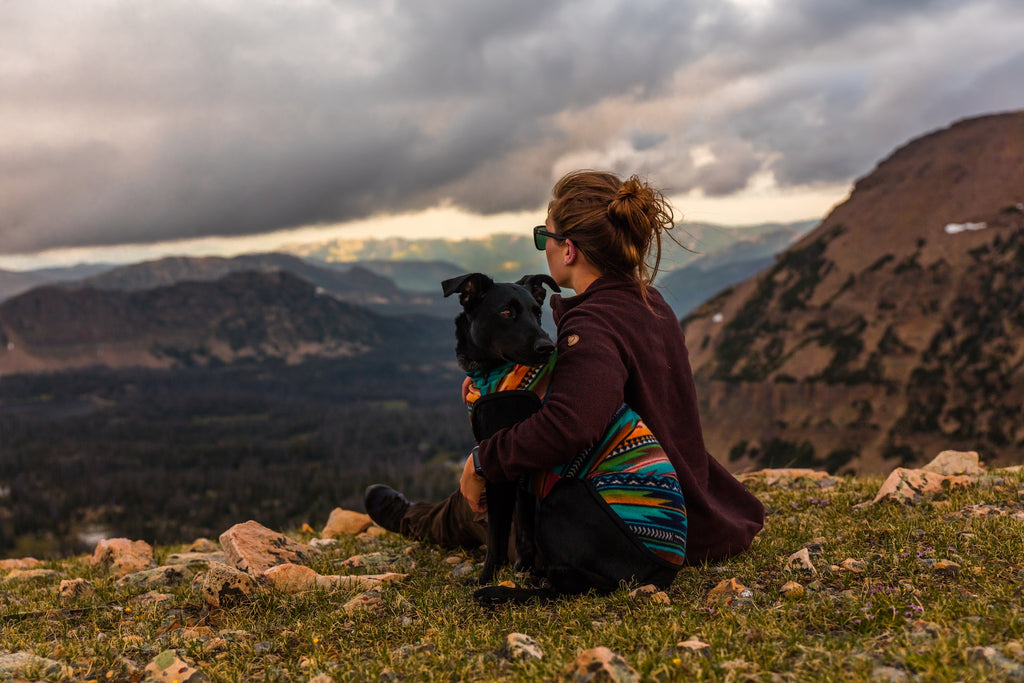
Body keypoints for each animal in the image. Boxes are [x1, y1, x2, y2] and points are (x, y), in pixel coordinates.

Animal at [436, 272, 557, 589]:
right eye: (506, 312)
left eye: (537, 313)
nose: (547, 347)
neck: (492, 374)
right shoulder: (522, 470)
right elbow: (524, 528)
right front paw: (524, 570)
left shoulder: (499, 463)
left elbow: (498, 534)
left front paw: (486, 578)